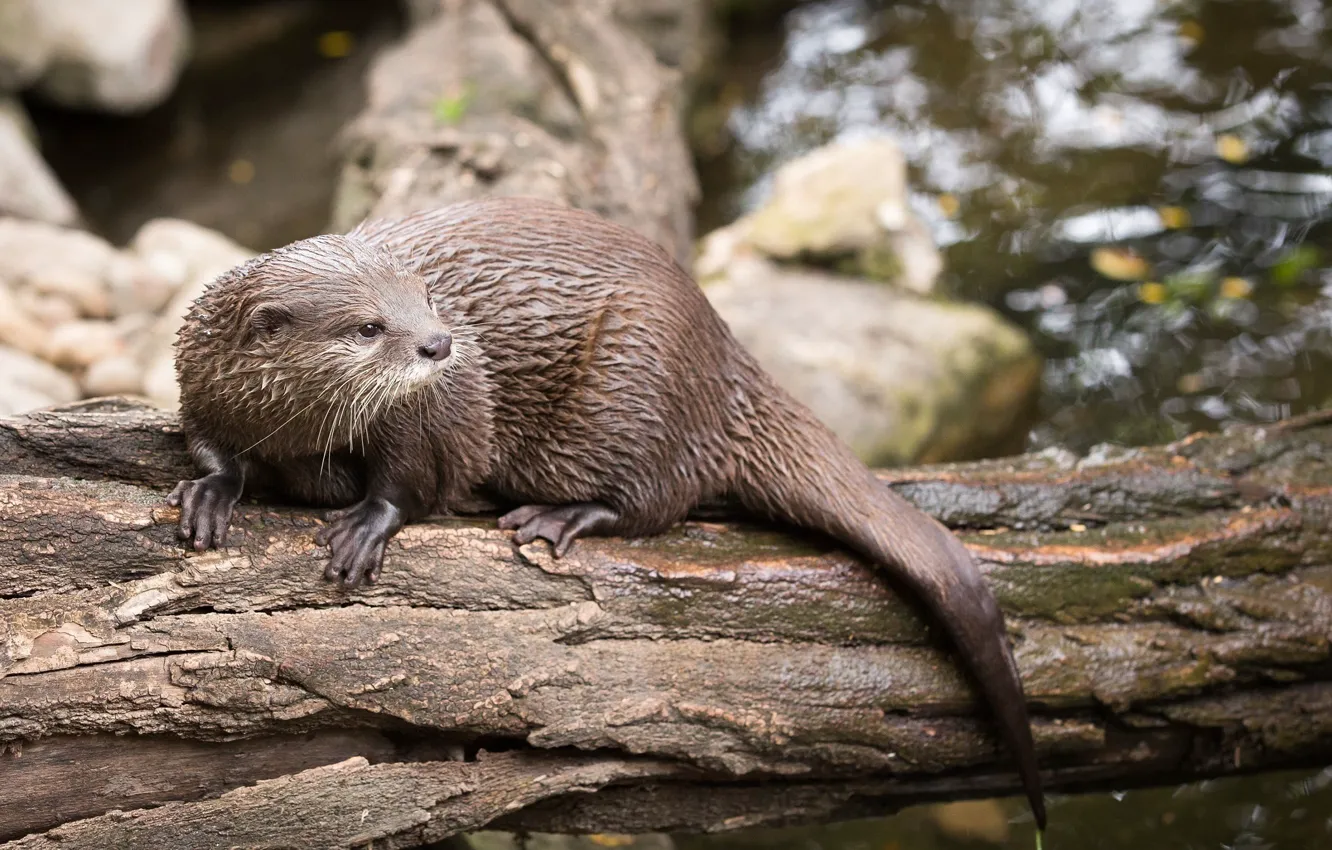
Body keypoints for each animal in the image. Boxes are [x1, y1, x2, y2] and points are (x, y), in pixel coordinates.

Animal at [166, 198, 1044, 826]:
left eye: (426, 298)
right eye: (367, 326)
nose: (441, 344)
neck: (299, 429)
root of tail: (721, 356)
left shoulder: (432, 417)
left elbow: (414, 479)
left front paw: (364, 526)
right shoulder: (201, 381)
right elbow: (207, 444)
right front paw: (211, 495)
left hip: (632, 386)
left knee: (660, 498)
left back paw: (559, 518)